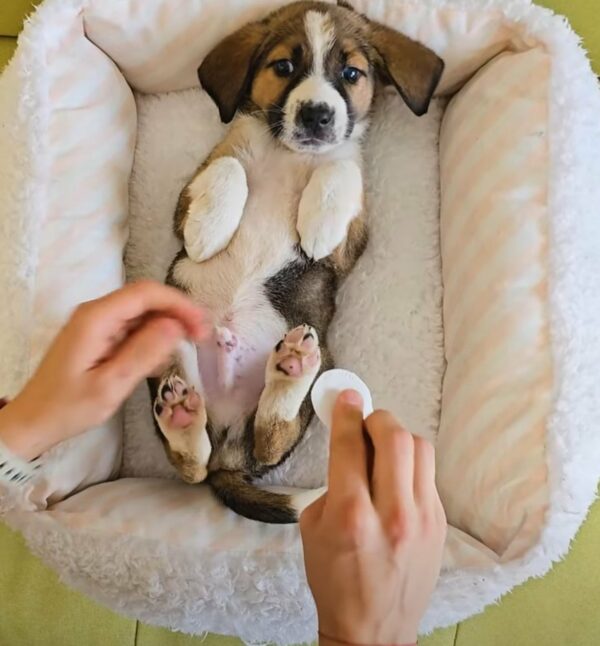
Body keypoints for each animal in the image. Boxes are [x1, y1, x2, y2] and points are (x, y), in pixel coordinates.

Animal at [149, 0, 440, 524]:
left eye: (351, 73)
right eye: (283, 66)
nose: (317, 115)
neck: (287, 152)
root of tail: (228, 445)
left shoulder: (352, 243)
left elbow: (341, 166)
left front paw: (318, 221)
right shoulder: (189, 193)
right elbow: (229, 167)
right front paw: (210, 230)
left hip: (320, 360)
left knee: (268, 436)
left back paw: (291, 371)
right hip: (169, 344)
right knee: (192, 463)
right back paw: (187, 416)